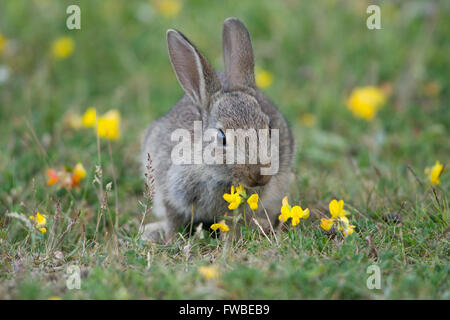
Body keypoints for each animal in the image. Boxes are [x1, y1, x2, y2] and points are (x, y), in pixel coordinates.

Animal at [142, 17, 296, 242]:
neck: (215, 175)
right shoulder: (169, 192)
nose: (260, 175)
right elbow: (173, 219)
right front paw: (170, 239)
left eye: (269, 129)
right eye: (222, 137)